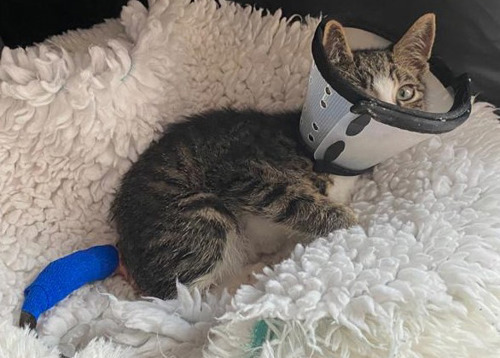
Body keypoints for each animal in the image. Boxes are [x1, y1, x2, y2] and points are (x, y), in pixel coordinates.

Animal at [111, 14, 436, 298]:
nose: (390, 115)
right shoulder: (242, 171)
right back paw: (252, 278)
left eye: (405, 93)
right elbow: (294, 200)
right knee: (185, 298)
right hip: (197, 213)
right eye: (360, 92)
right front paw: (356, 225)